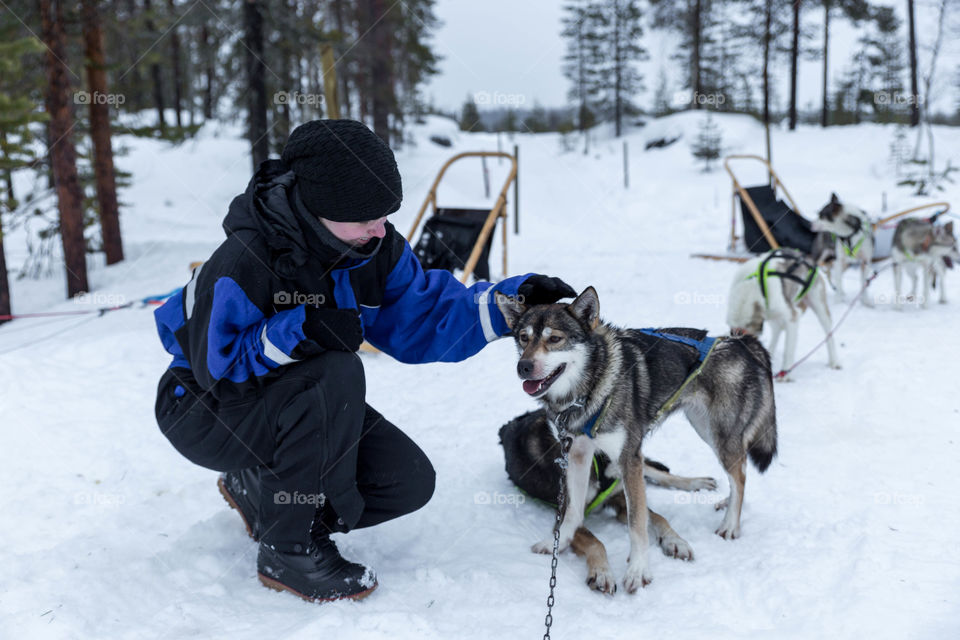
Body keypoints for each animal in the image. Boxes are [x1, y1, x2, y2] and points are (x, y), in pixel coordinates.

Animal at [496, 288, 780, 592]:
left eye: (554, 339)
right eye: (523, 338)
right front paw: (556, 542)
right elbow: (573, 512)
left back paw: (730, 524)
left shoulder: (628, 458)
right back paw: (721, 500)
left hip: (719, 433)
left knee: (739, 475)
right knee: (736, 470)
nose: (524, 366)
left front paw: (638, 570)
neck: (590, 387)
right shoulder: (576, 454)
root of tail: (740, 341)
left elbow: (637, 521)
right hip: (703, 426)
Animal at [728, 248, 840, 378]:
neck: (753, 284)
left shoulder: (792, 317)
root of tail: (809, 259)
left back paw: (834, 361)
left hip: (819, 306)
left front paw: (785, 373)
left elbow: (788, 350)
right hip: (772, 315)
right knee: (777, 330)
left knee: (829, 333)